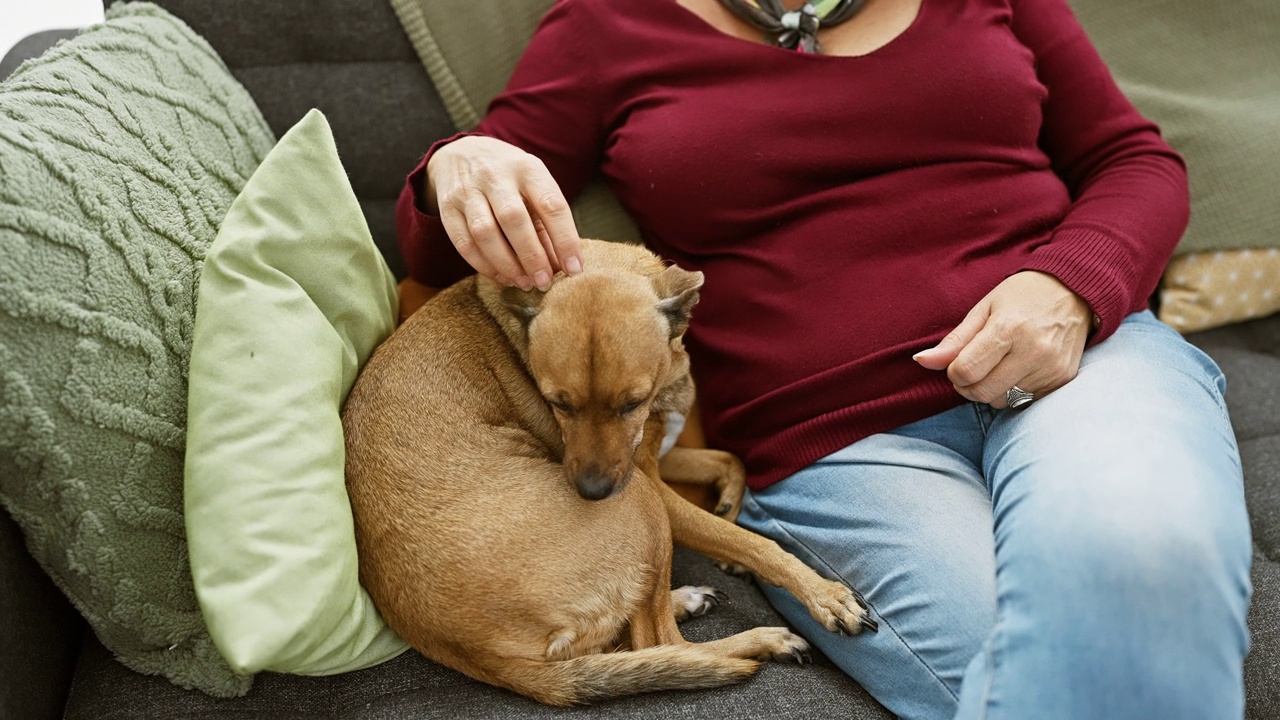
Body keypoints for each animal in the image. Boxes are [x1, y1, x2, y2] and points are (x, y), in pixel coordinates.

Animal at [345, 238, 875, 702]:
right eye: (556, 402)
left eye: (631, 403)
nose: (592, 492)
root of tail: (479, 658)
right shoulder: (652, 485)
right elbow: (754, 542)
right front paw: (823, 594)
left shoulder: (656, 454)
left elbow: (731, 463)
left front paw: (728, 515)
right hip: (643, 505)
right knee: (663, 641)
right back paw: (763, 639)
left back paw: (685, 600)